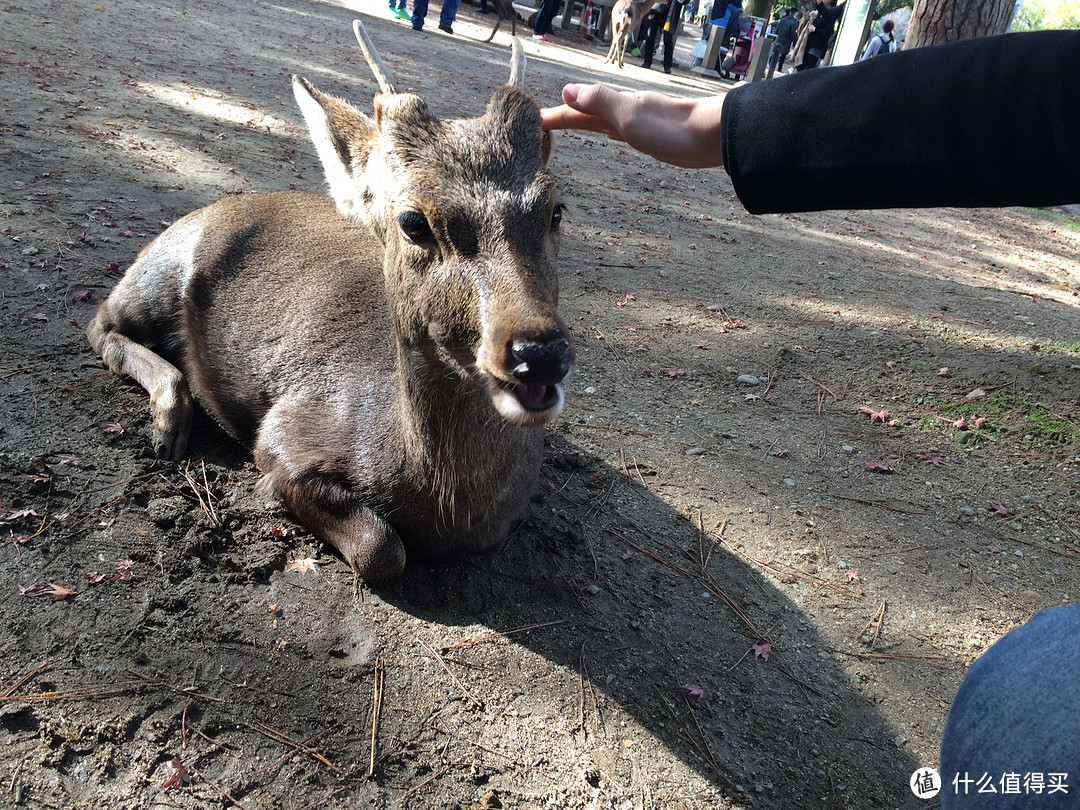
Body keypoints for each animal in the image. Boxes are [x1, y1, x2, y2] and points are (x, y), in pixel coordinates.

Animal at [86, 19, 574, 587]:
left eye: (556, 209)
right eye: (412, 221)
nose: (538, 353)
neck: (443, 504)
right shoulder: (285, 433)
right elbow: (382, 547)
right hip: (159, 271)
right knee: (101, 325)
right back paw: (168, 424)